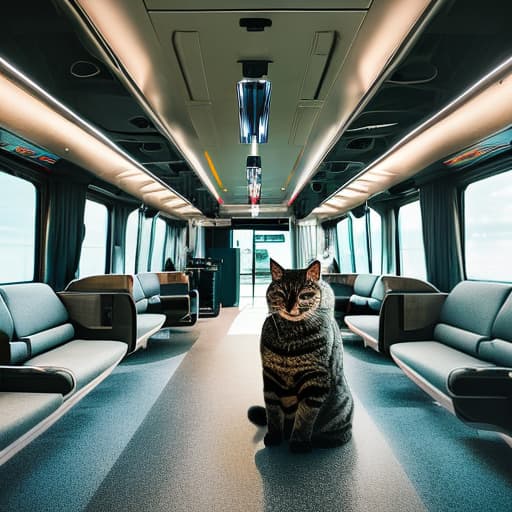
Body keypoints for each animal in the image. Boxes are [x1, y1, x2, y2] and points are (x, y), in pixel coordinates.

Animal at [249, 260, 354, 452]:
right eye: (281, 293)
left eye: (305, 295)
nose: (290, 306)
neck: (291, 338)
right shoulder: (270, 378)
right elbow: (273, 413)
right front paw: (274, 436)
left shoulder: (315, 381)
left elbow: (305, 417)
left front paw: (299, 443)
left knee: (342, 432)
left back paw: (323, 440)